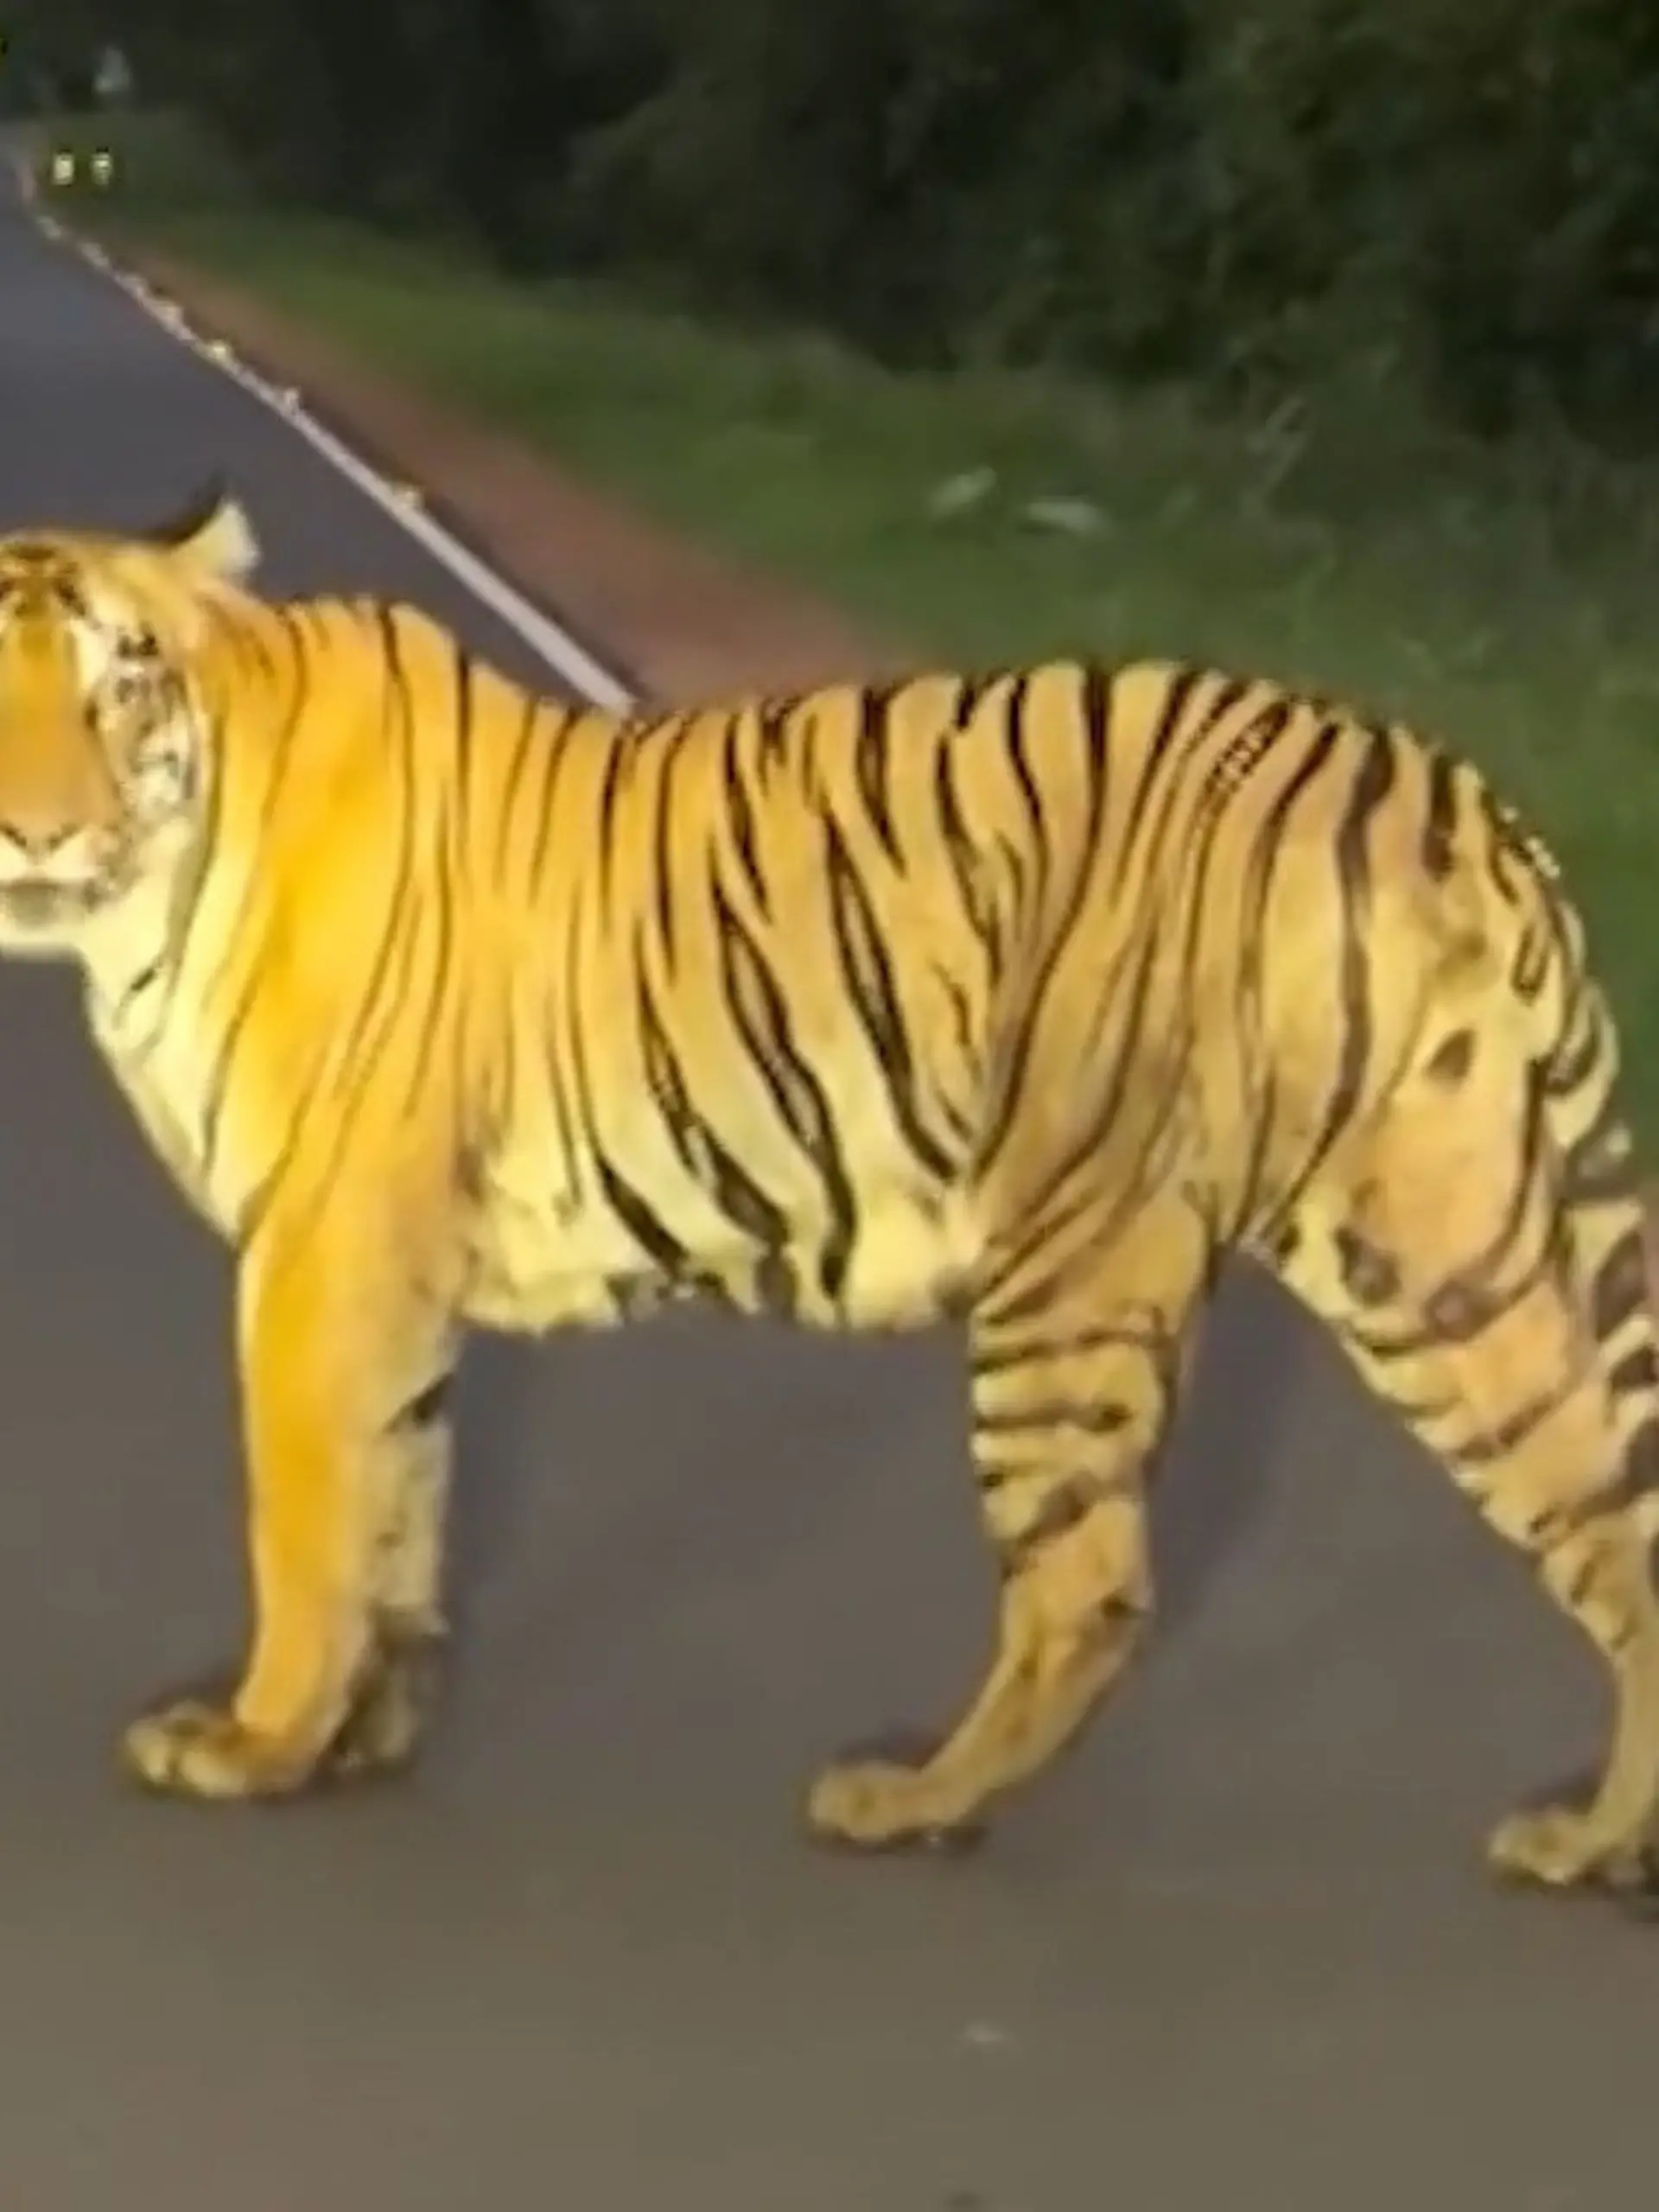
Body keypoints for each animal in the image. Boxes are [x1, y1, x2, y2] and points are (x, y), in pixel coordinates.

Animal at [0, 479, 1656, 1906]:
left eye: (115, 684)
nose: (35, 832)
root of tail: (1444, 788)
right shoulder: (384, 1269)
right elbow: (401, 1500)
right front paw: (360, 1739)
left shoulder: (317, 1244)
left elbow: (307, 1517)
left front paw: (251, 1743)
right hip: (1436, 1244)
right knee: (1607, 1513)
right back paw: (1599, 1846)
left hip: (1085, 1256)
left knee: (1088, 1585)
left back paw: (910, 1802)